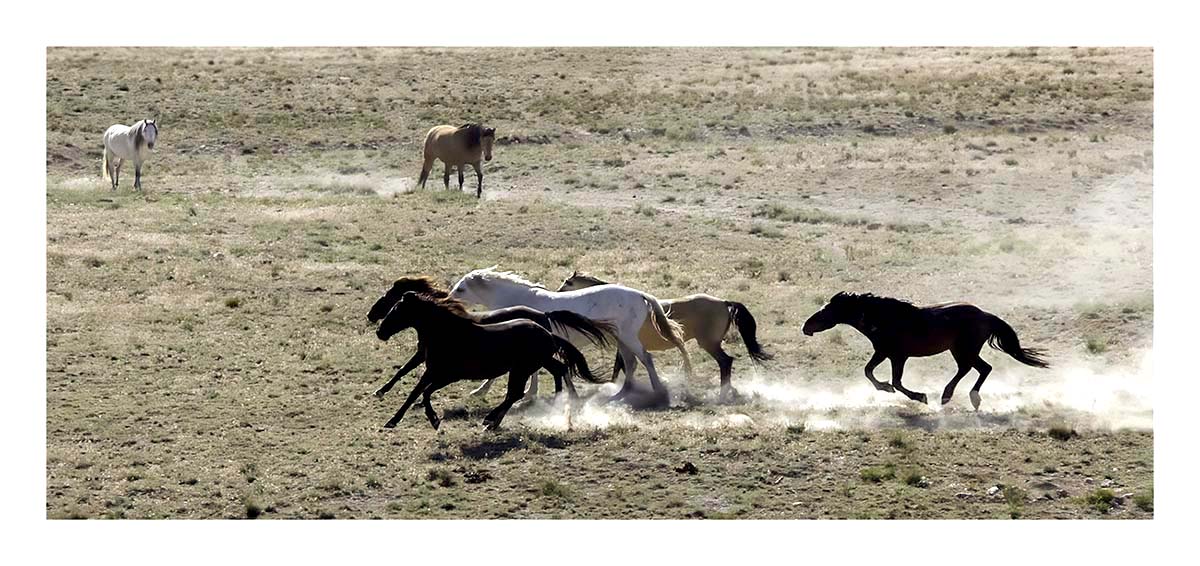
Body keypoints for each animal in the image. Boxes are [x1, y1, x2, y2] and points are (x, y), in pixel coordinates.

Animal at [367, 276, 614, 401]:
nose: (371, 315)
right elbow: (405, 371)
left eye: (391, 297)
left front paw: (382, 391)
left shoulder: (425, 355)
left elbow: (404, 370)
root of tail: (543, 315)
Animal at [375, 292, 605, 430]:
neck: (448, 333)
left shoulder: (447, 375)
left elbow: (425, 393)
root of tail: (547, 331)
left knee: (515, 393)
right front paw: (392, 420)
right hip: (536, 363)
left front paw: (434, 420)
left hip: (522, 369)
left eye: (396, 309)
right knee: (556, 371)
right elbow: (415, 392)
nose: (379, 331)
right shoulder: (431, 371)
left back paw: (491, 421)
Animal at [448, 266, 692, 407]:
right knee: (631, 364)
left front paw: (480, 391)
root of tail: (640, 294)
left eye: (461, 289)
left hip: (628, 337)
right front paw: (530, 394)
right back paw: (619, 395)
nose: (448, 301)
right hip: (622, 340)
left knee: (645, 359)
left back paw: (657, 391)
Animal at [557, 271, 772, 402]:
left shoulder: (625, 342)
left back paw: (723, 393)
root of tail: (724, 302)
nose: (557, 292)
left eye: (568, 282)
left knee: (725, 362)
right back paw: (730, 391)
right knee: (726, 362)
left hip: (708, 343)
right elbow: (625, 365)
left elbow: (624, 365)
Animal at [801, 292, 1049, 409]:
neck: (885, 319)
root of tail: (986, 315)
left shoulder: (897, 356)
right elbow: (869, 371)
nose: (806, 326)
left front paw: (919, 396)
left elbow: (896, 381)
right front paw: (886, 388)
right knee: (982, 369)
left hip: (963, 350)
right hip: (963, 350)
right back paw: (968, 397)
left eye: (826, 310)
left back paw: (948, 396)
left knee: (971, 369)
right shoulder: (883, 353)